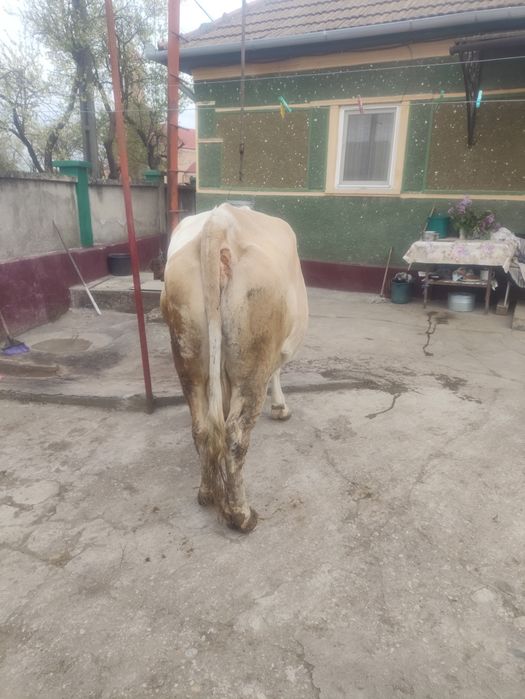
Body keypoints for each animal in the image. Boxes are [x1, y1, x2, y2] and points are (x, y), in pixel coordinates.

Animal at [160, 203, 308, 532]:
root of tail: (220, 221)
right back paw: (241, 514)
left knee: (202, 427)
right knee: (235, 435)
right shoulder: (281, 345)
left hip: (187, 354)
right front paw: (280, 408)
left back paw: (207, 493)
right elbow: (277, 371)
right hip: (252, 359)